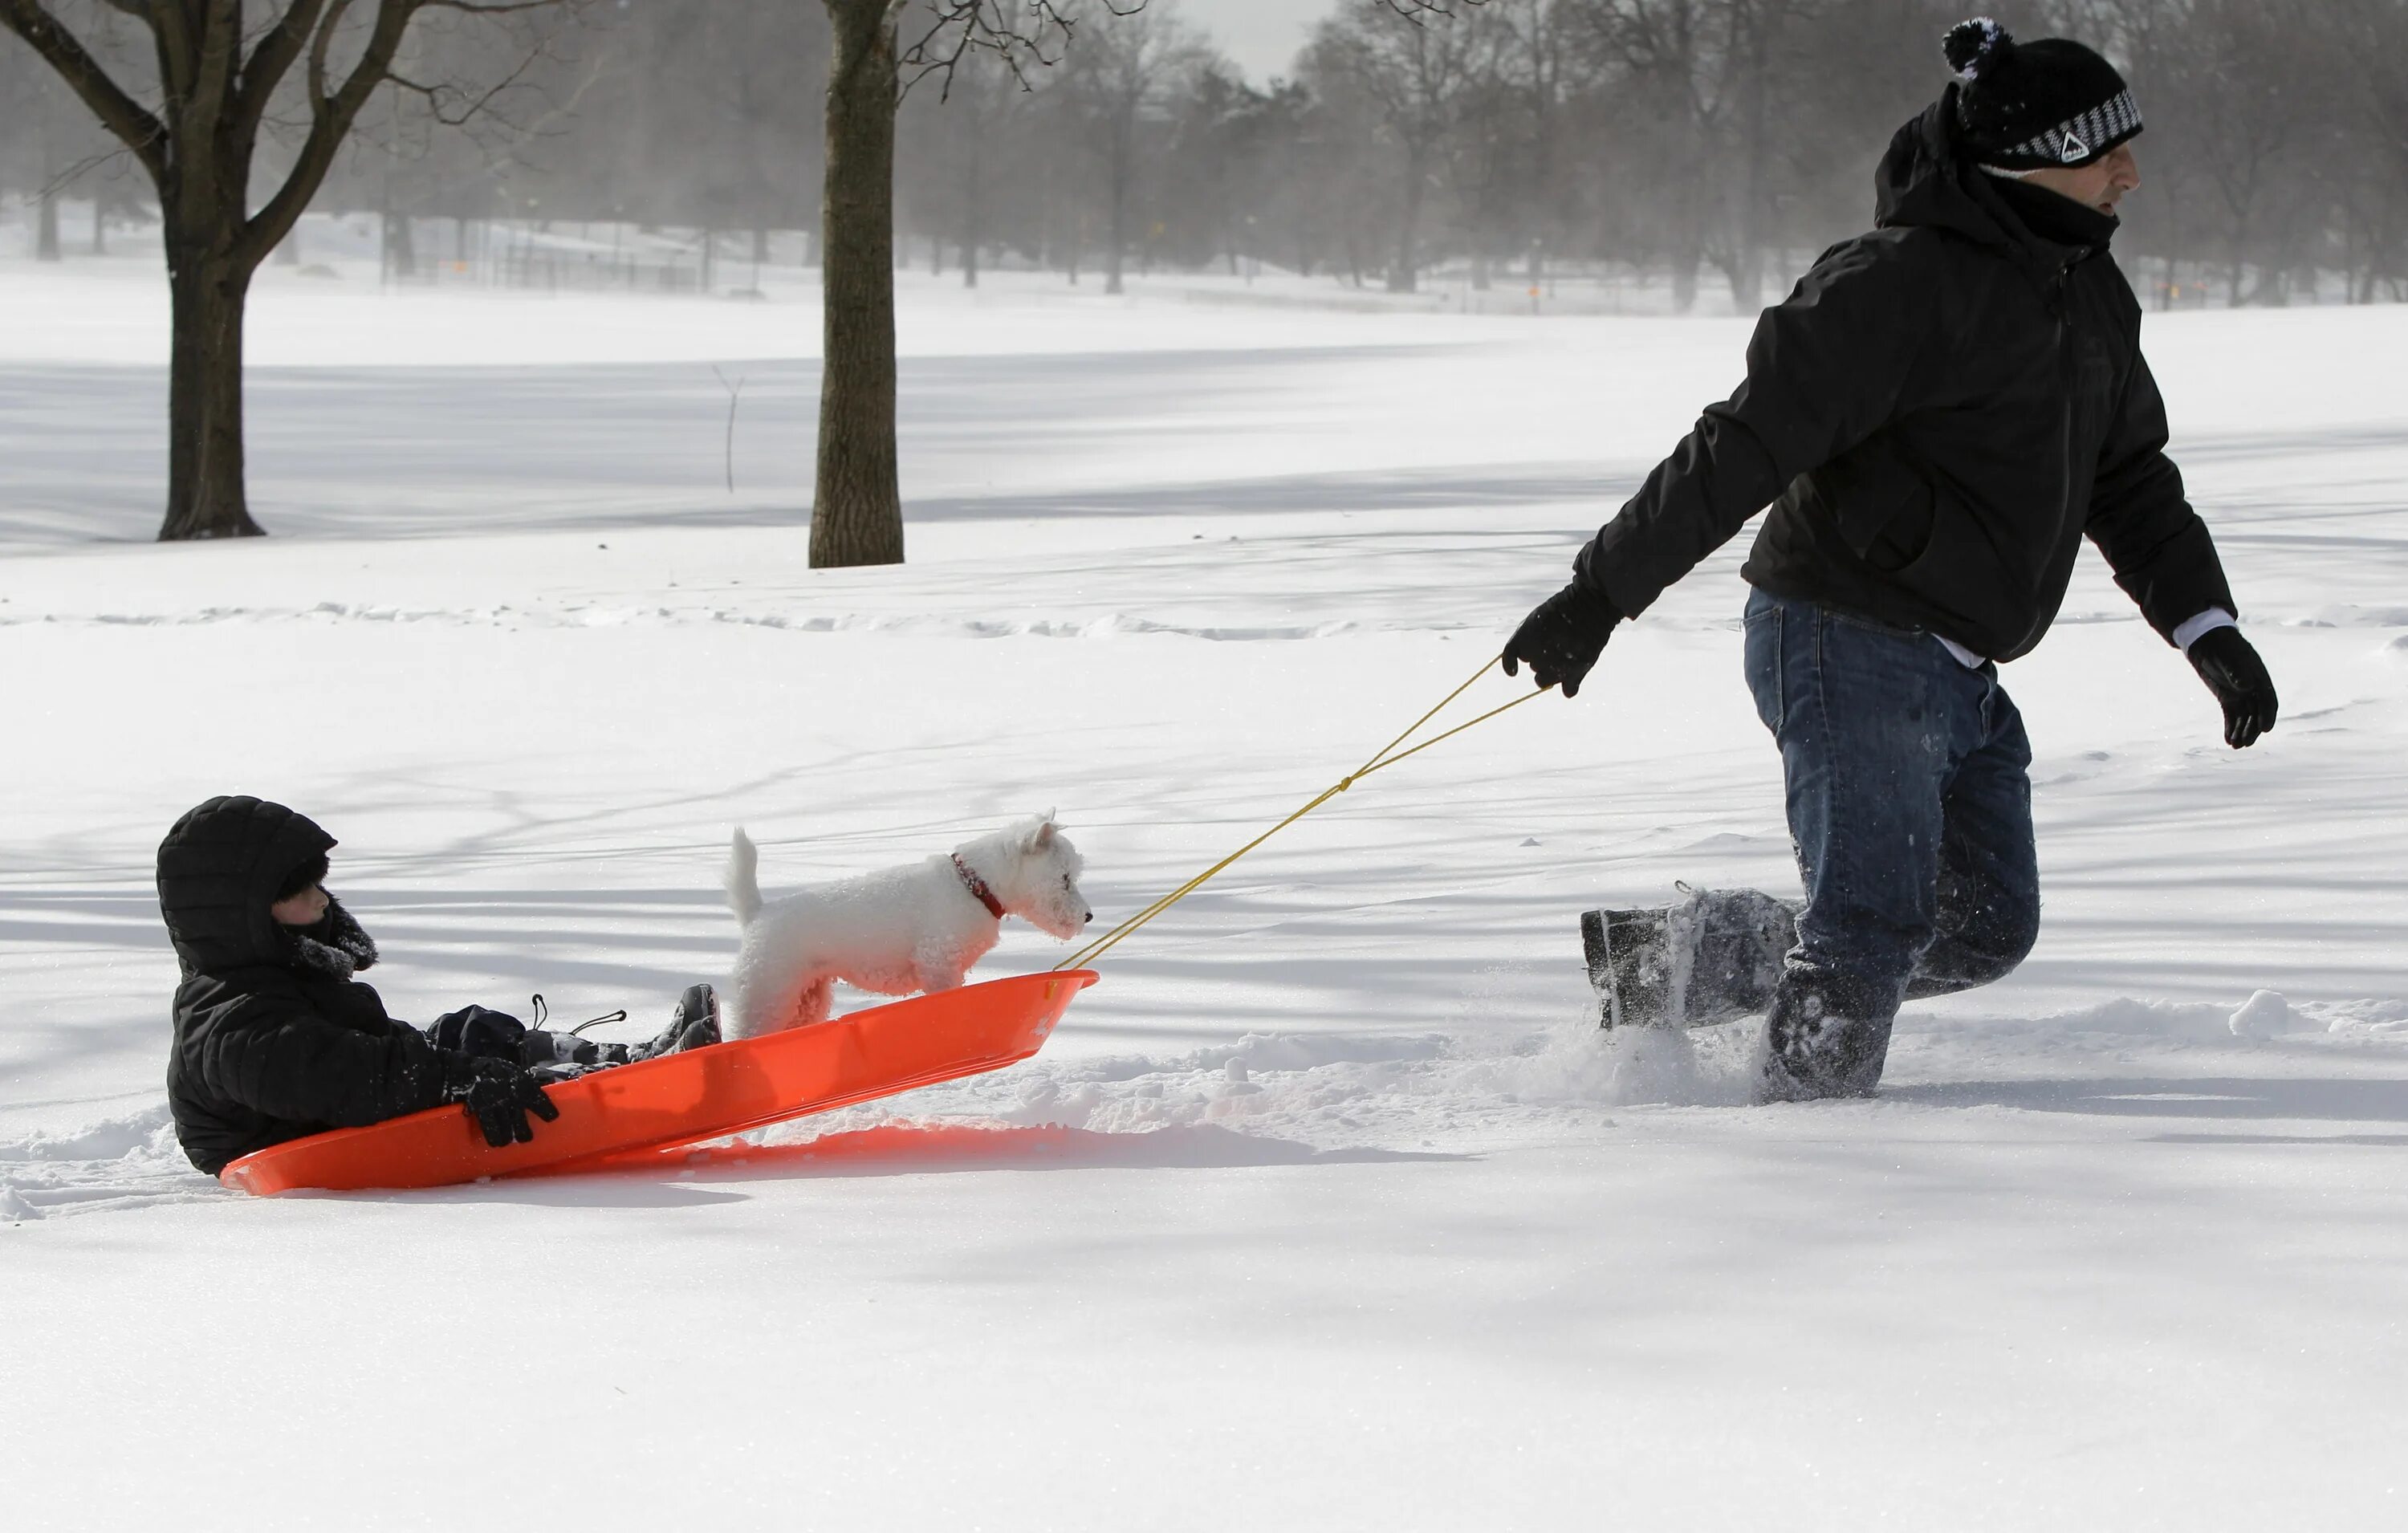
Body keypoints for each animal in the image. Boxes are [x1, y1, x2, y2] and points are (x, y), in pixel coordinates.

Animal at [713, 813, 1093, 1039]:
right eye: (1064, 878)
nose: (1088, 916)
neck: (973, 886)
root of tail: (757, 913)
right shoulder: (937, 963)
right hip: (768, 995)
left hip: (807, 1002)